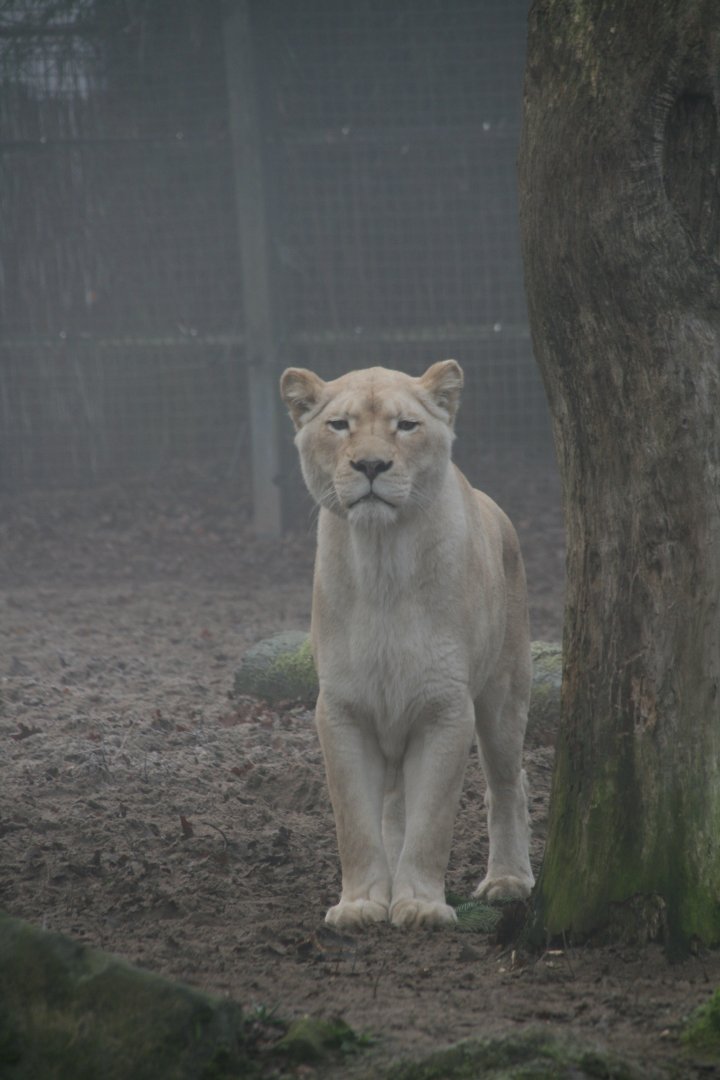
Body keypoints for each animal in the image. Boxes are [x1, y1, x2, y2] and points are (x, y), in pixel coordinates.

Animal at [280, 360, 534, 929]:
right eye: (339, 425)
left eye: (406, 426)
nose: (371, 465)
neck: (382, 563)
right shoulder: (343, 709)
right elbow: (355, 820)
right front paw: (361, 904)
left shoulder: (446, 708)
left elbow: (431, 819)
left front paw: (420, 904)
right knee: (393, 807)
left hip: (503, 699)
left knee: (508, 783)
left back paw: (509, 881)